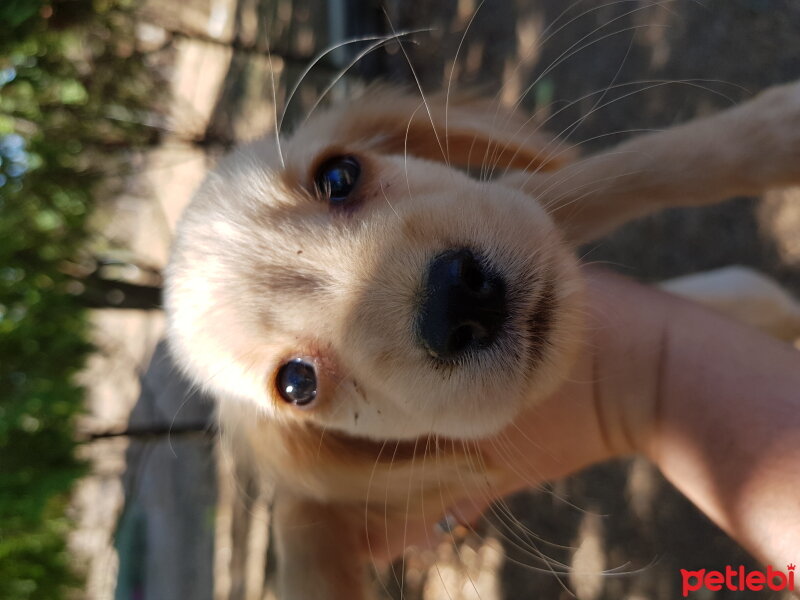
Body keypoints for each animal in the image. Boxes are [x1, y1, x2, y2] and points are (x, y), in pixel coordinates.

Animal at [166, 81, 800, 600]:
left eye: (338, 176)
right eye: (298, 384)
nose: (456, 302)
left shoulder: (529, 198)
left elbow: (622, 170)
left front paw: (770, 132)